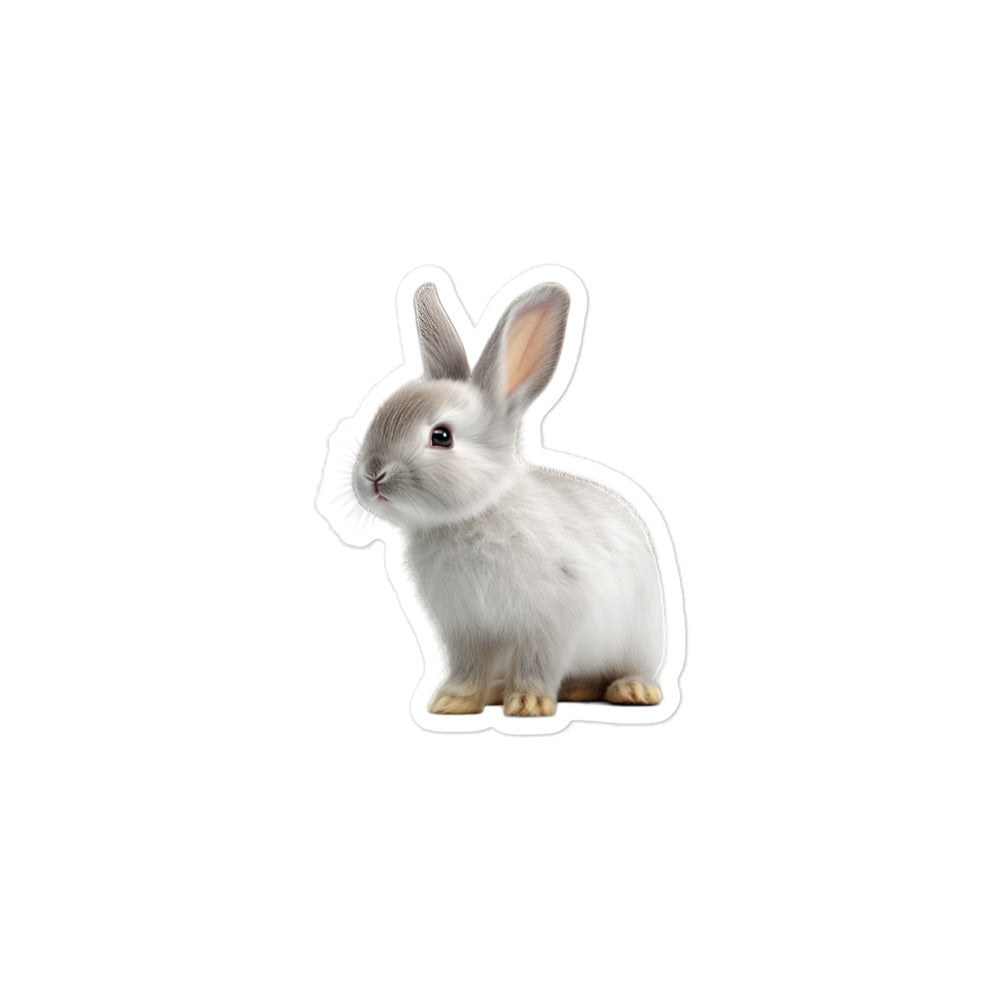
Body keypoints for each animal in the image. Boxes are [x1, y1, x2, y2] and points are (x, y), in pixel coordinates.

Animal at [351, 281, 665, 717]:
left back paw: (632, 691)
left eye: (441, 436)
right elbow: (468, 667)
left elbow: (539, 660)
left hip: (638, 638)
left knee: (626, 670)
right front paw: (453, 701)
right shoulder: (465, 629)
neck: (475, 514)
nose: (372, 476)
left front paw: (529, 703)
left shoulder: (553, 618)